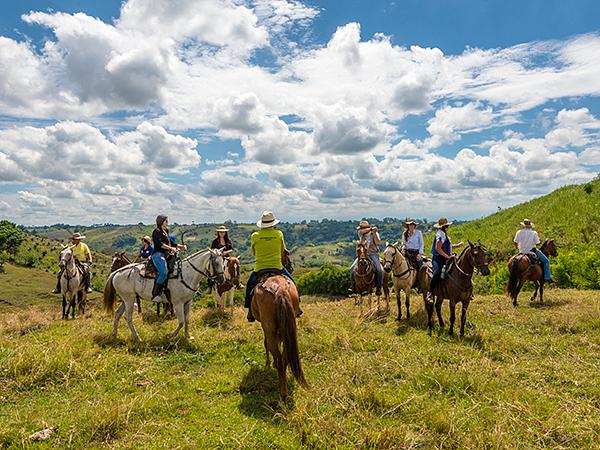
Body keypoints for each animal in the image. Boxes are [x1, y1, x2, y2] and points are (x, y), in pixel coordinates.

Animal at [252, 272, 310, 400]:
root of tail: (280, 289)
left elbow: (266, 344)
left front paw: (268, 364)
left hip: (270, 329)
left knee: (278, 358)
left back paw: (282, 394)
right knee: (285, 358)